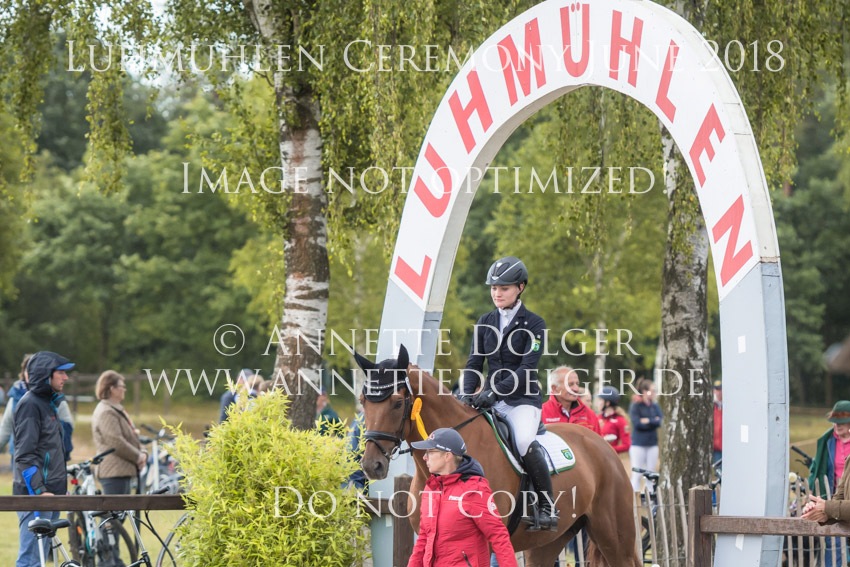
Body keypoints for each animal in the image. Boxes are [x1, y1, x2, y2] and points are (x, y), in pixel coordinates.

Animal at [356, 346, 641, 567]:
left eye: (396, 403)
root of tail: (600, 442)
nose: (372, 465)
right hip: (547, 543)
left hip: (615, 539)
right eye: (363, 401)